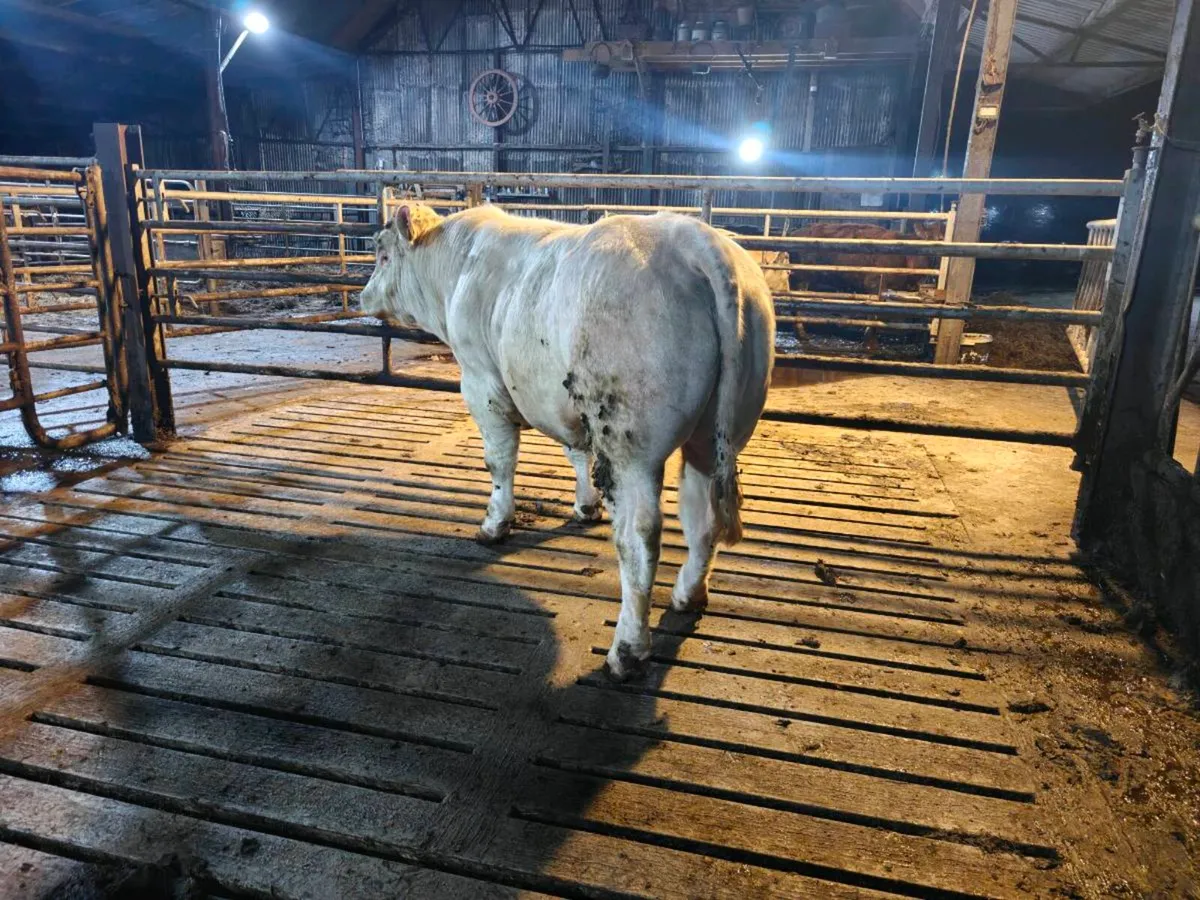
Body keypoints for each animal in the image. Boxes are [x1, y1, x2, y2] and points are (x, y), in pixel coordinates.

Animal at [360, 203, 776, 680]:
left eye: (383, 255)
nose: (364, 296)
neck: (458, 267)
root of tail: (698, 241)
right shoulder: (557, 396)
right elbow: (575, 451)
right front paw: (584, 506)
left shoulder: (482, 381)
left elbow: (499, 460)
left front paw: (494, 524)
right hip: (716, 433)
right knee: (700, 511)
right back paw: (688, 595)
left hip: (630, 442)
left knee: (640, 535)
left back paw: (627, 649)